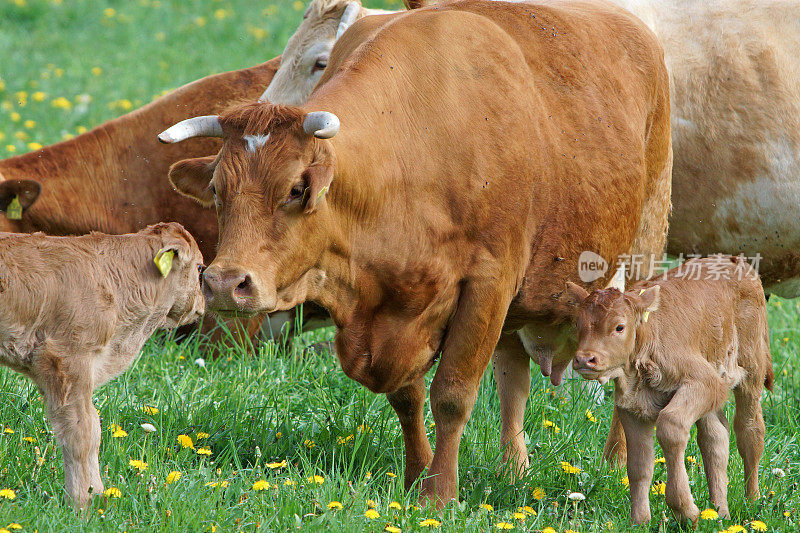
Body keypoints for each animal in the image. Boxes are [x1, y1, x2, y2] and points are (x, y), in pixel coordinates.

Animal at [0, 222, 205, 510]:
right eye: (199, 268)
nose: (202, 304)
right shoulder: (68, 361)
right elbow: (82, 432)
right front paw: (82, 503)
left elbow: (94, 429)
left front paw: (96, 496)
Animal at [159, 0, 672, 504]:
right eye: (216, 188)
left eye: (296, 189)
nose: (225, 283)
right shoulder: (396, 311)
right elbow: (408, 398)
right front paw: (415, 476)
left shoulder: (487, 284)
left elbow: (452, 395)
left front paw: (439, 494)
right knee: (513, 378)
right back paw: (513, 469)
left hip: (642, 247)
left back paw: (615, 464)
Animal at [564, 256, 772, 524]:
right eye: (578, 324)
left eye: (619, 327)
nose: (584, 359)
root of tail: (737, 262)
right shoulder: (631, 409)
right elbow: (639, 464)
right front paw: (639, 521)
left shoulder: (703, 382)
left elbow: (670, 426)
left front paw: (685, 510)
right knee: (715, 437)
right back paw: (720, 512)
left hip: (750, 372)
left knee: (750, 430)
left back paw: (751, 501)